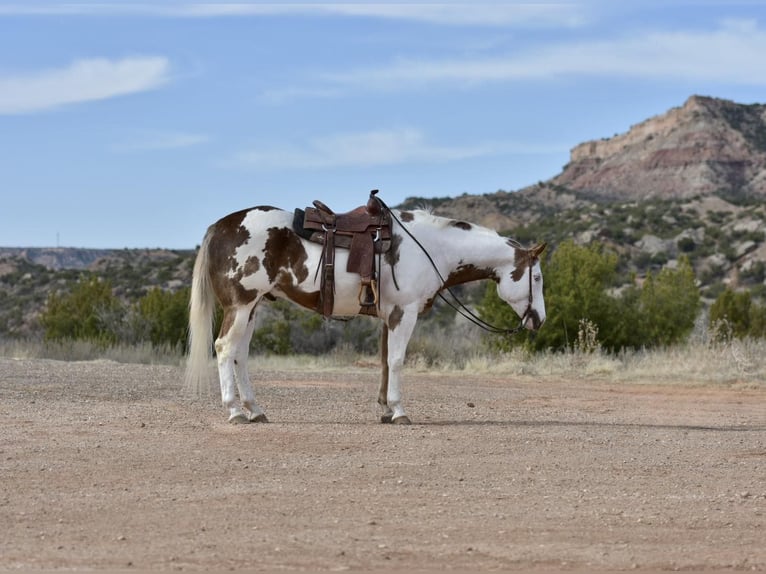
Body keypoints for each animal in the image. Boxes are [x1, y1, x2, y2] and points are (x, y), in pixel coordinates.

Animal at [184, 200, 544, 426]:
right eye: (538, 277)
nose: (538, 320)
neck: (432, 247)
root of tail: (220, 226)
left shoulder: (389, 318)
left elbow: (384, 363)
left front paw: (385, 410)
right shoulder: (404, 314)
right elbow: (397, 361)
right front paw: (399, 411)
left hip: (253, 308)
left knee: (240, 355)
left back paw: (255, 410)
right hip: (241, 305)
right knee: (224, 348)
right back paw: (235, 412)